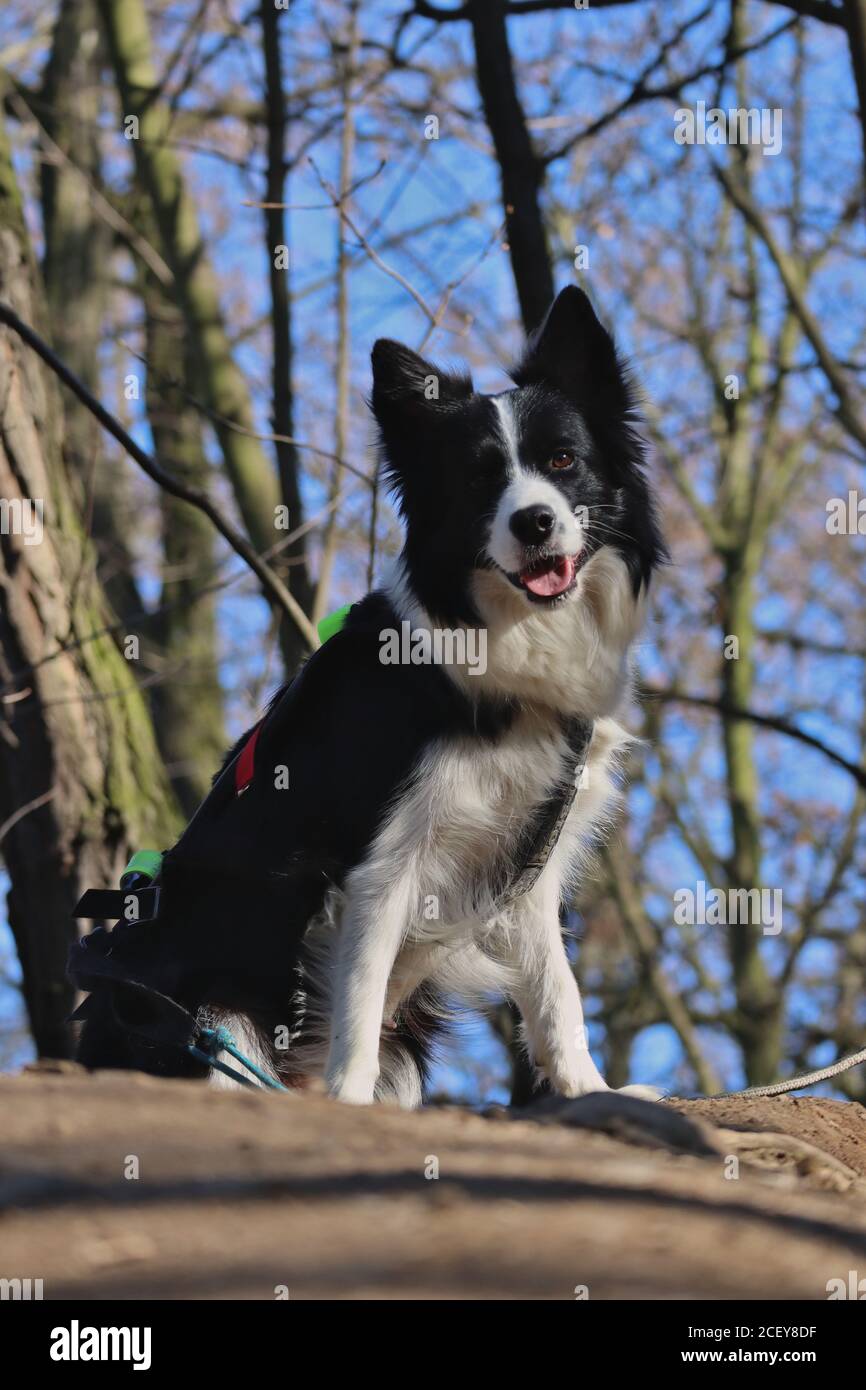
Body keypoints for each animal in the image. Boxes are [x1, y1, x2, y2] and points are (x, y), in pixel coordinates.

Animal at [77, 290, 667, 1106]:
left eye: (562, 461)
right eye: (480, 481)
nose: (535, 522)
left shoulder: (530, 861)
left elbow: (556, 989)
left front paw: (589, 1092)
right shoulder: (379, 867)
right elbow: (359, 1002)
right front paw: (349, 1108)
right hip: (209, 1016)